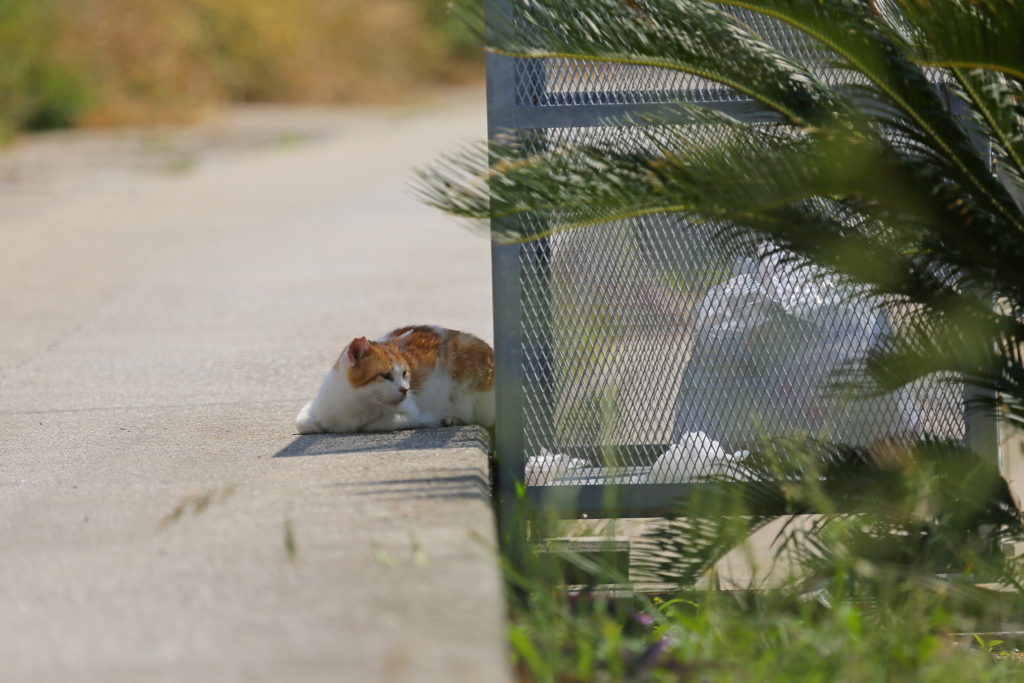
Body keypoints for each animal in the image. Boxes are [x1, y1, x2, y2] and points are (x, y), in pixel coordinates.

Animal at [294, 325, 493, 432]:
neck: (357, 403)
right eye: (385, 376)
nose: (405, 389)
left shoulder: (411, 414)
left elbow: (377, 423)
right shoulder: (317, 407)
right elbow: (302, 422)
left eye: (404, 374)